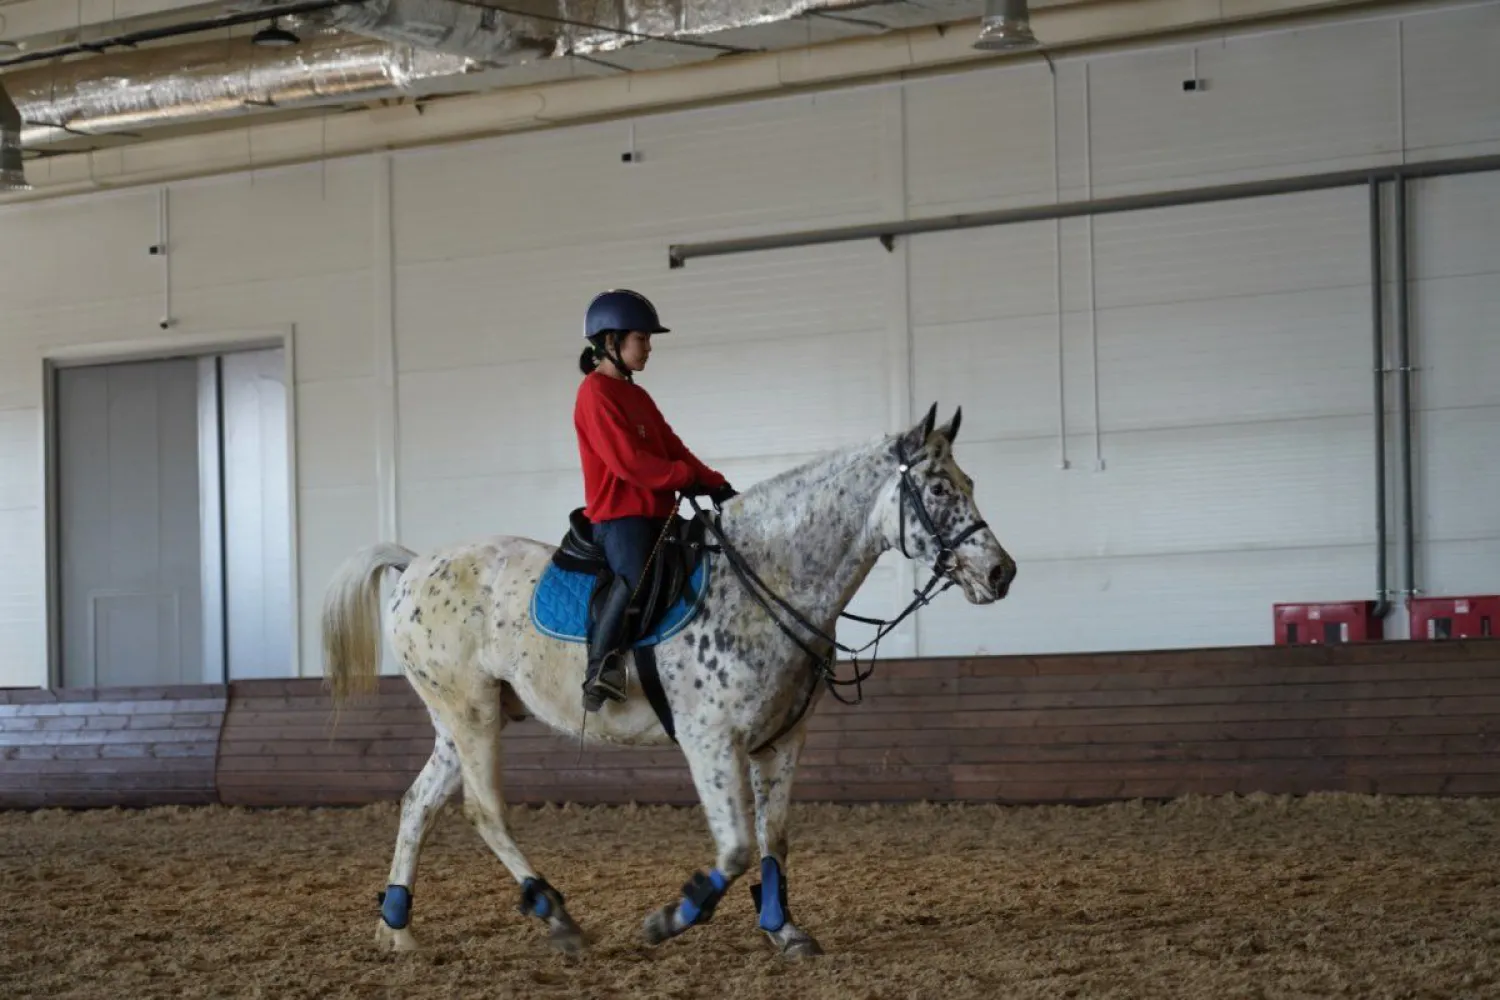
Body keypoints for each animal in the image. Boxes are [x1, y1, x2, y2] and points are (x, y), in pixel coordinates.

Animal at [321, 401, 1014, 959]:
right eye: (937, 488)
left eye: (969, 483)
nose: (1001, 572)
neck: (765, 580)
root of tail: (416, 566)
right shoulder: (712, 741)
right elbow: (735, 848)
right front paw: (671, 918)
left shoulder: (781, 742)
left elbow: (775, 840)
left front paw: (783, 930)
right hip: (472, 715)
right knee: (483, 811)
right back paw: (556, 916)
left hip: (460, 719)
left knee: (419, 803)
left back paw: (397, 927)